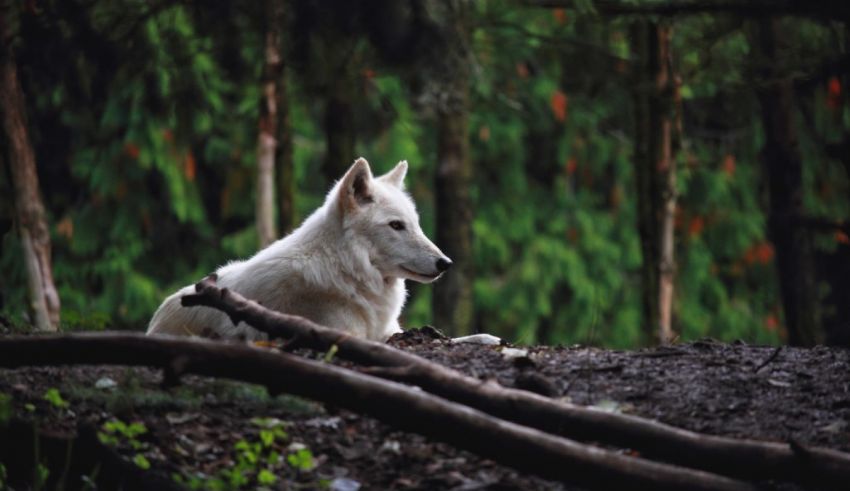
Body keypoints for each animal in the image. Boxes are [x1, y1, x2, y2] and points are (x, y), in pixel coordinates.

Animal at [147, 157, 452, 342]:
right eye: (396, 225)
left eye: (415, 224)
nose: (445, 262)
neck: (346, 269)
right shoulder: (345, 334)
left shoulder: (389, 331)